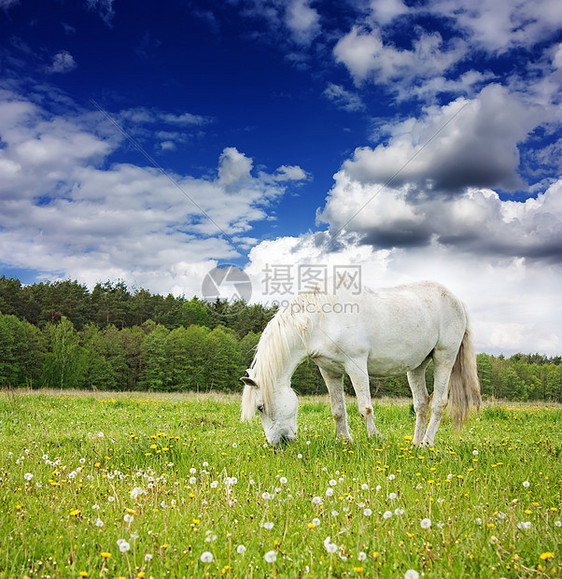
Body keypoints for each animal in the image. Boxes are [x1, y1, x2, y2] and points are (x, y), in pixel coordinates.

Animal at [238, 280, 480, 448]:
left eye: (260, 407)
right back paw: (414, 444)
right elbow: (338, 410)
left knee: (439, 403)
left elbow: (365, 408)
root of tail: (457, 300)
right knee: (421, 403)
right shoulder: (329, 371)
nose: (279, 444)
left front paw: (375, 439)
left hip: (444, 357)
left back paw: (427, 443)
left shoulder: (356, 365)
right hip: (417, 365)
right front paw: (344, 441)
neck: (322, 319)